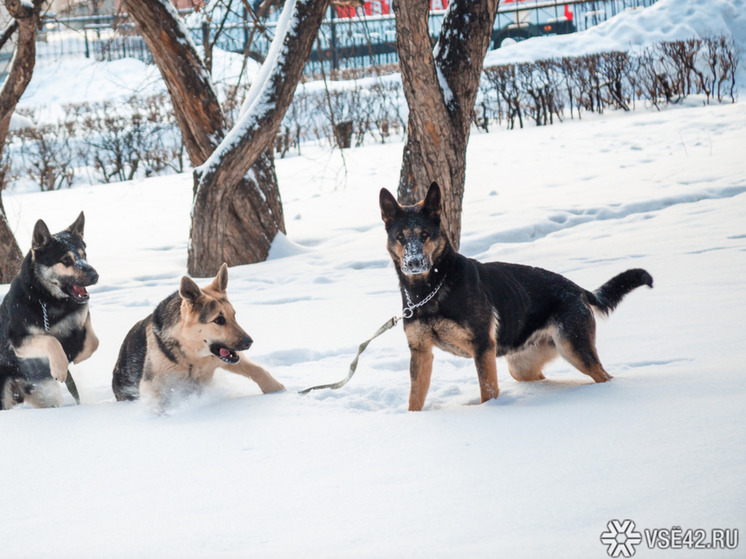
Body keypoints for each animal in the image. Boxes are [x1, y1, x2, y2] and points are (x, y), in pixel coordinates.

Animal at [0, 214, 99, 412]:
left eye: (84, 255)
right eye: (66, 260)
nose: (95, 276)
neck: (50, 301)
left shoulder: (82, 315)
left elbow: (93, 341)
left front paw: (76, 355)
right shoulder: (18, 339)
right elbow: (51, 341)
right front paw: (60, 367)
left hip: (44, 395)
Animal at [111, 264, 284, 404]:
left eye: (234, 315)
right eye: (219, 320)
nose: (249, 342)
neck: (192, 354)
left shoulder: (225, 359)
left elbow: (258, 370)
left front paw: (278, 390)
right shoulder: (151, 381)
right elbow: (155, 402)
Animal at [378, 183, 652, 412]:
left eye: (424, 234)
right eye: (401, 237)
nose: (414, 263)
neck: (430, 289)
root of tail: (578, 289)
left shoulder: (482, 348)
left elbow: (488, 392)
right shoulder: (421, 352)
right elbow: (415, 398)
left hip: (574, 351)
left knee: (604, 376)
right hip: (521, 366)